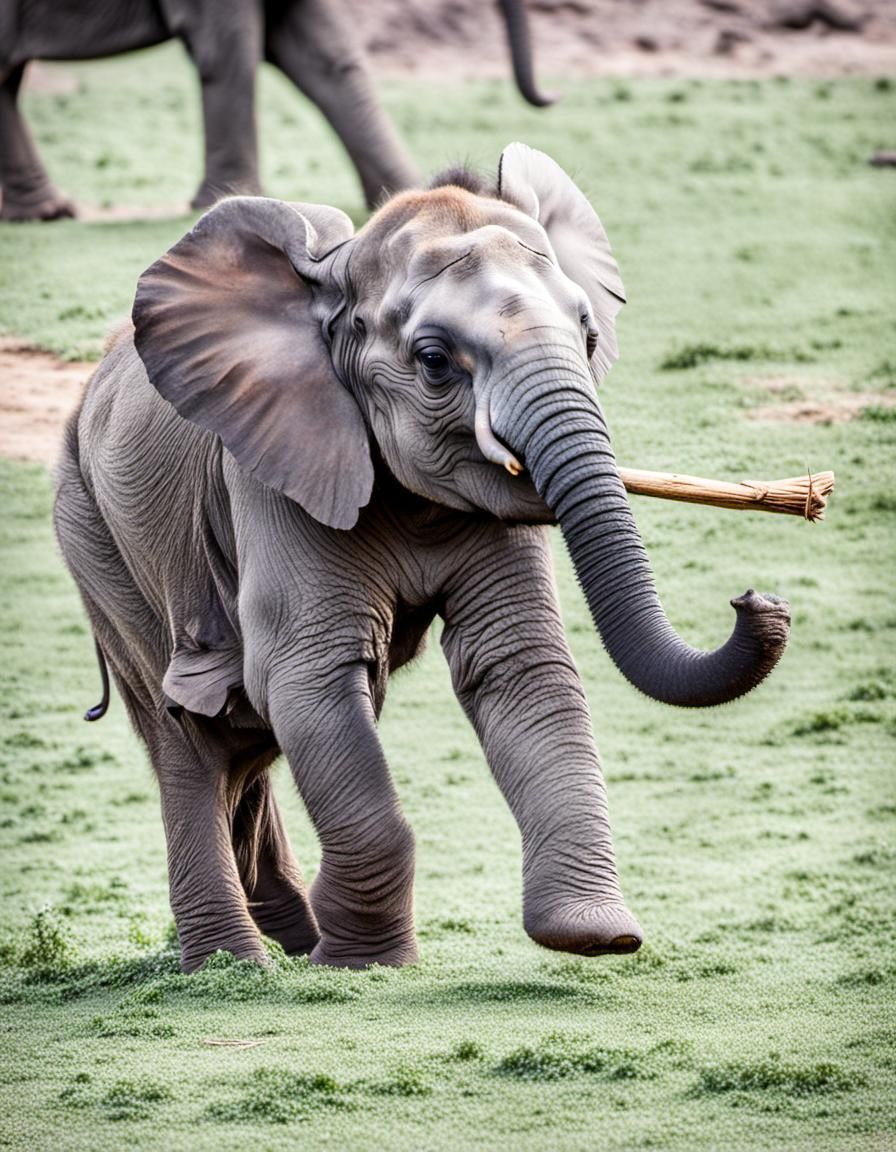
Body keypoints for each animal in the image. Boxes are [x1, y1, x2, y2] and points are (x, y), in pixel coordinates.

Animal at [0, 0, 550, 221]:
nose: (549, 98)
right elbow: (230, 53)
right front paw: (221, 202)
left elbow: (328, 56)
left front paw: (405, 196)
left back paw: (45, 213)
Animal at [54, 144, 791, 972]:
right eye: (435, 360)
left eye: (588, 336)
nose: (756, 601)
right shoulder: (272, 477)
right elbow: (308, 675)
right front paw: (362, 965)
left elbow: (518, 663)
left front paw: (595, 937)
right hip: (93, 534)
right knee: (192, 735)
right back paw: (231, 963)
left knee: (243, 735)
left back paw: (288, 940)